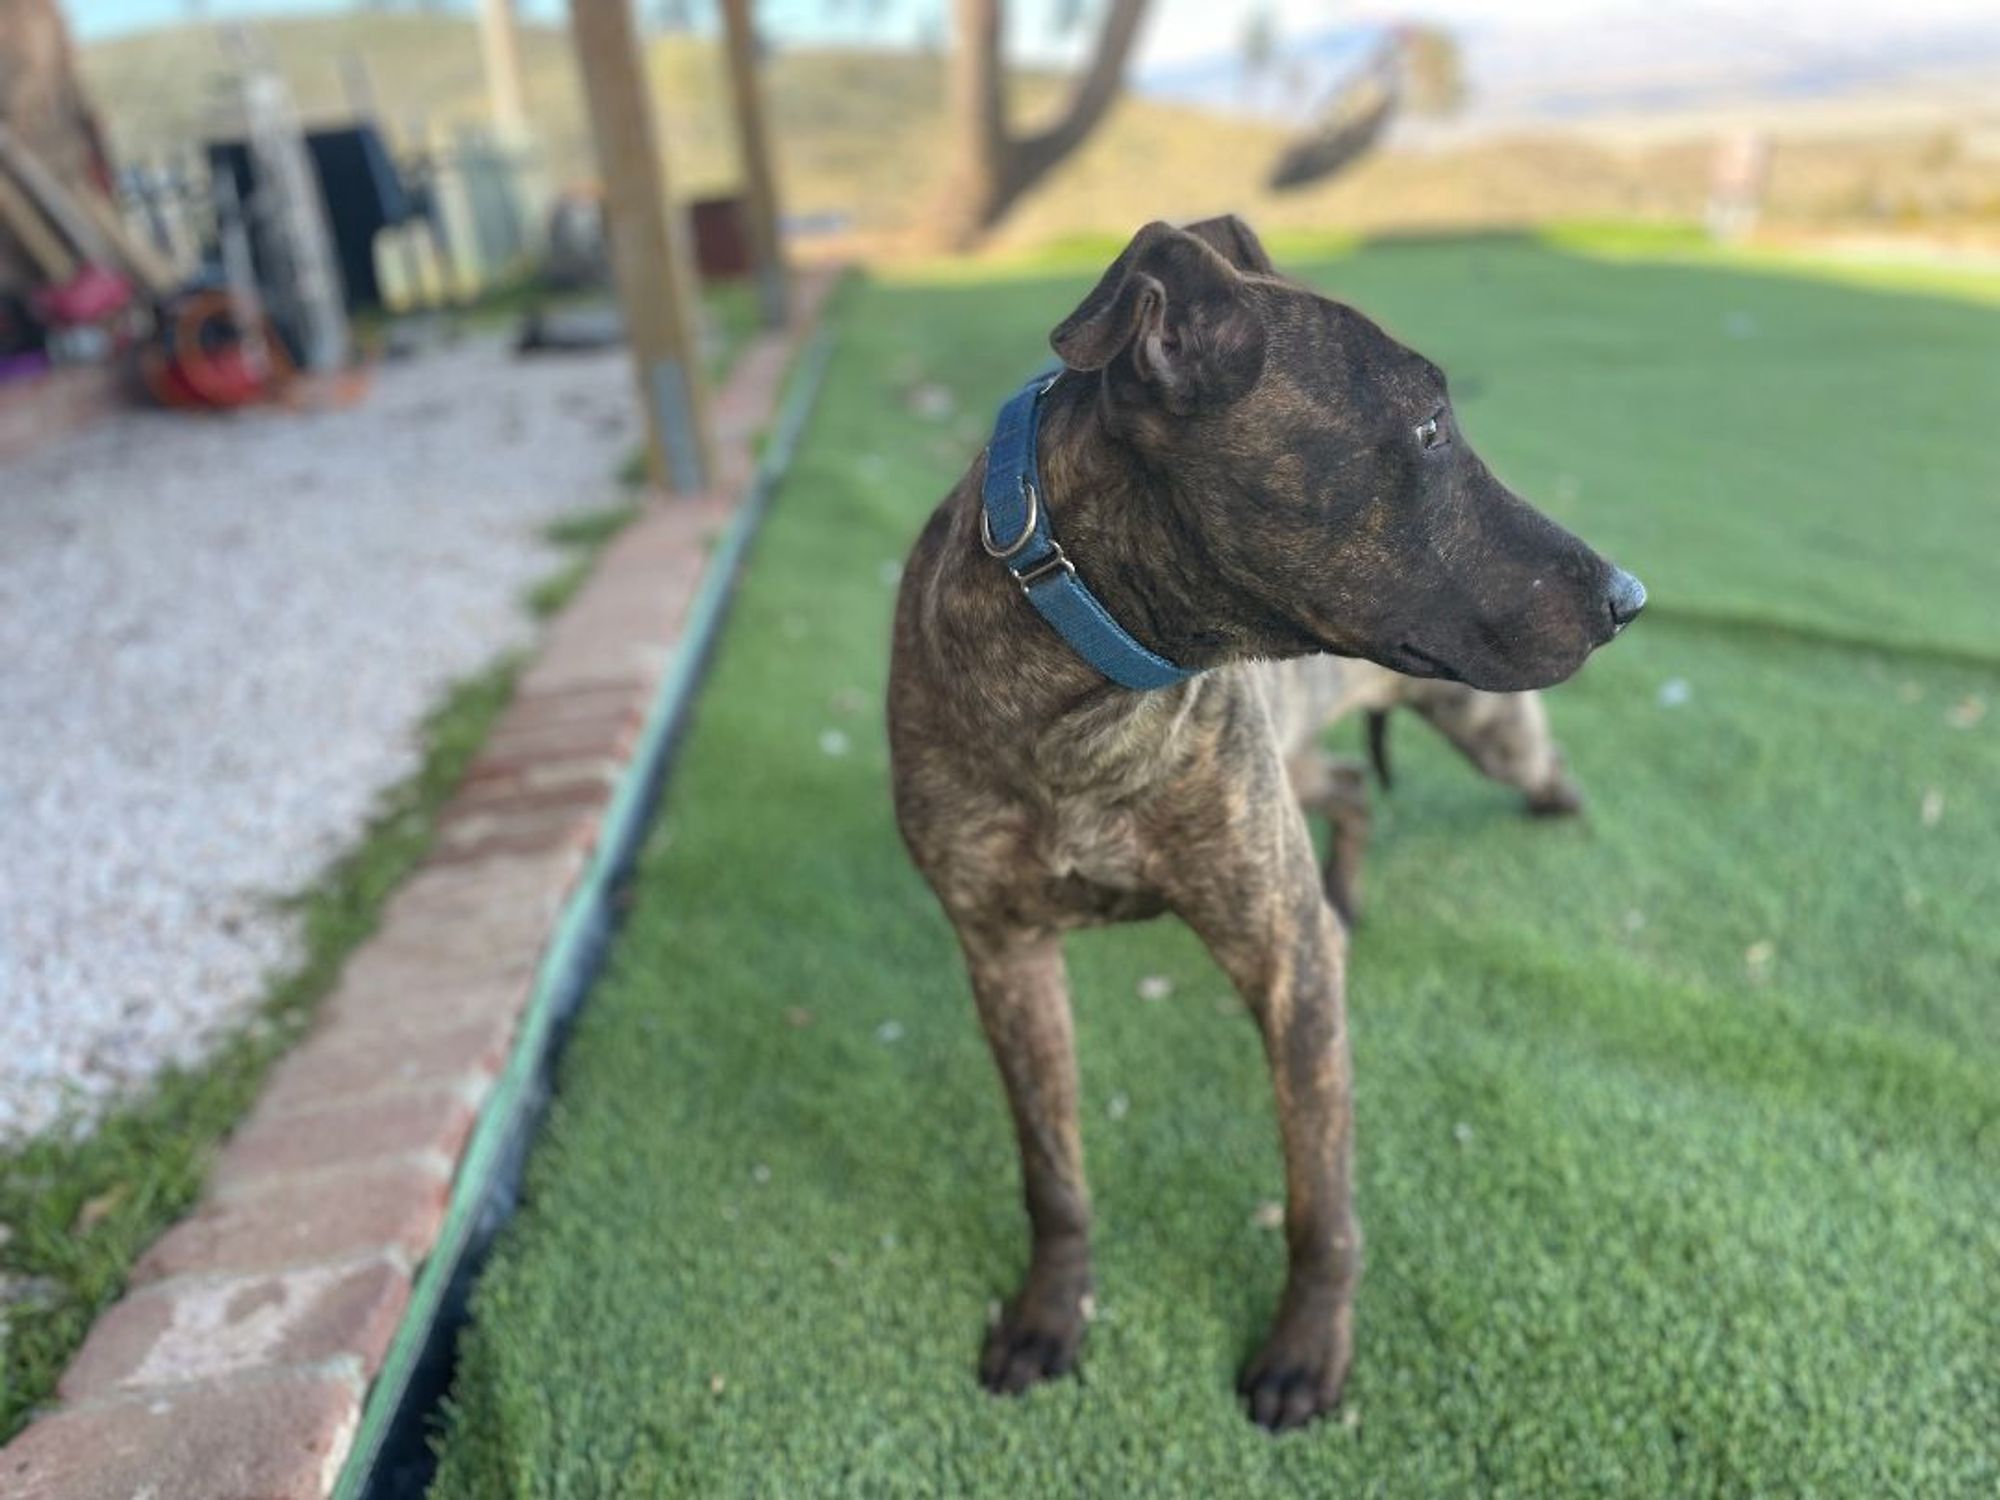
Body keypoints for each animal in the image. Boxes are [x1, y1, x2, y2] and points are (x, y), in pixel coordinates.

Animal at [888, 214, 1640, 1432]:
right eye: (1427, 428)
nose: (1630, 598)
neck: (1087, 703)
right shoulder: (1004, 954)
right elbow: (1053, 1175)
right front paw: (1051, 1312)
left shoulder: (1284, 962)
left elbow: (1317, 1202)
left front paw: (1306, 1350)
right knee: (1345, 789)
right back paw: (1352, 889)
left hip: (1484, 734)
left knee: (1532, 769)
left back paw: (1555, 816)